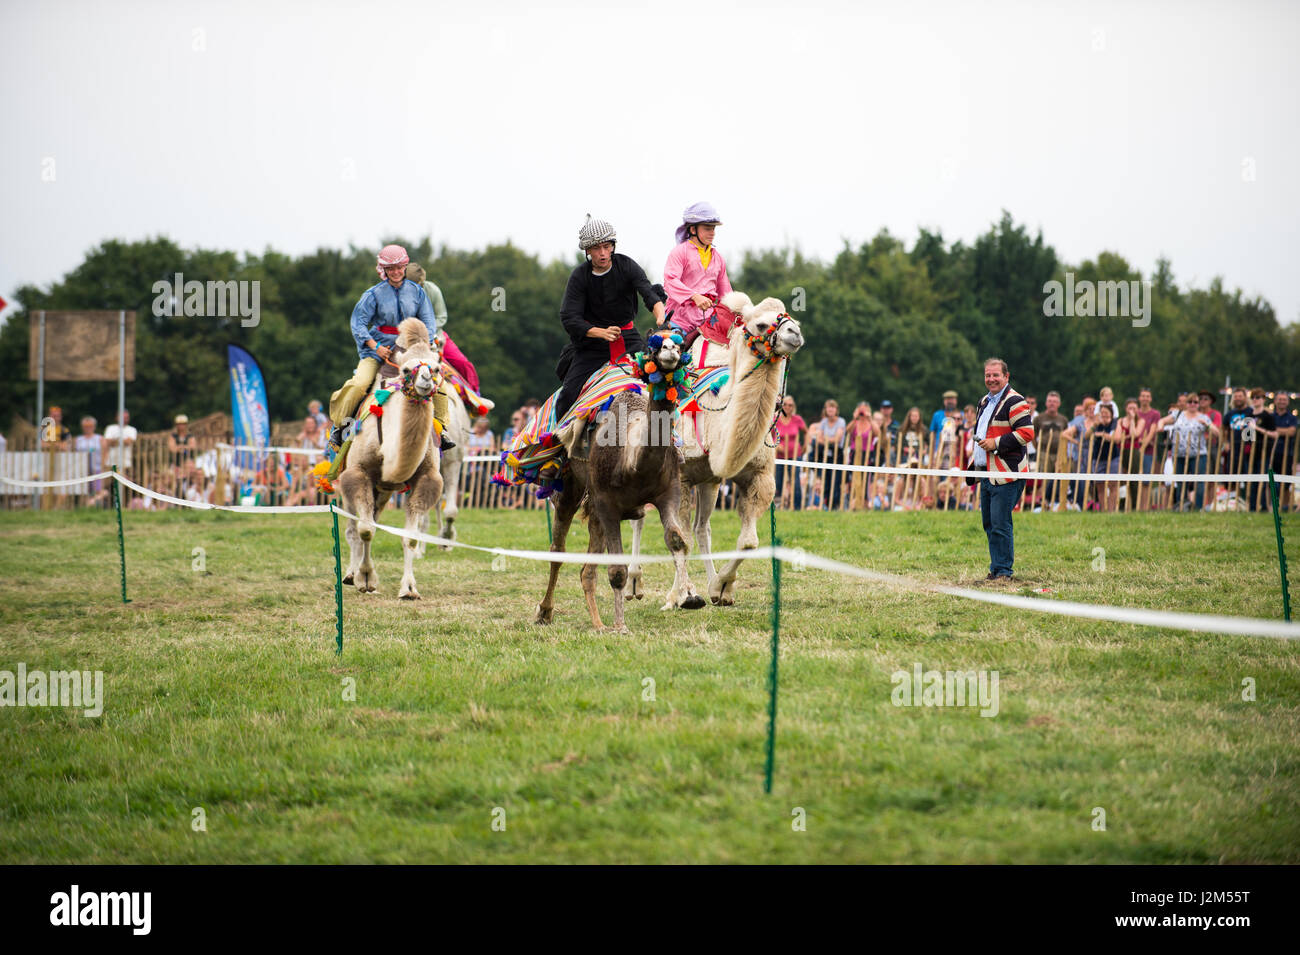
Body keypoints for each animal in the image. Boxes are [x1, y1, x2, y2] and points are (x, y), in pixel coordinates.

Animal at [338, 317, 444, 600]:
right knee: (353, 528)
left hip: (383, 490)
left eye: (437, 367)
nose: (426, 381)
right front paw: (365, 579)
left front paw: (409, 589)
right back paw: (350, 575)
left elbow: (410, 538)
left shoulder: (426, 479)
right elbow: (365, 530)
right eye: (406, 369)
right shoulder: (358, 473)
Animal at [533, 332, 707, 631]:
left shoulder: (668, 493)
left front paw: (690, 597)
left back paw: (598, 624)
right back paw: (545, 612)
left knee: (587, 569)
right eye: (654, 348)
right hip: (570, 487)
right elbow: (616, 571)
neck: (631, 460)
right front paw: (621, 626)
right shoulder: (606, 503)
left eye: (679, 344)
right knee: (558, 549)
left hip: (594, 510)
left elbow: (676, 540)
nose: (669, 351)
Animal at [621, 291, 800, 605]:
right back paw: (634, 583)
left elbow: (748, 541)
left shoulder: (758, 476)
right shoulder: (680, 476)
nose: (795, 333)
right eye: (760, 324)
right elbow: (680, 539)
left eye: (794, 320)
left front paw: (721, 587)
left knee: (702, 529)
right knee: (639, 520)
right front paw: (682, 596)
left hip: (710, 483)